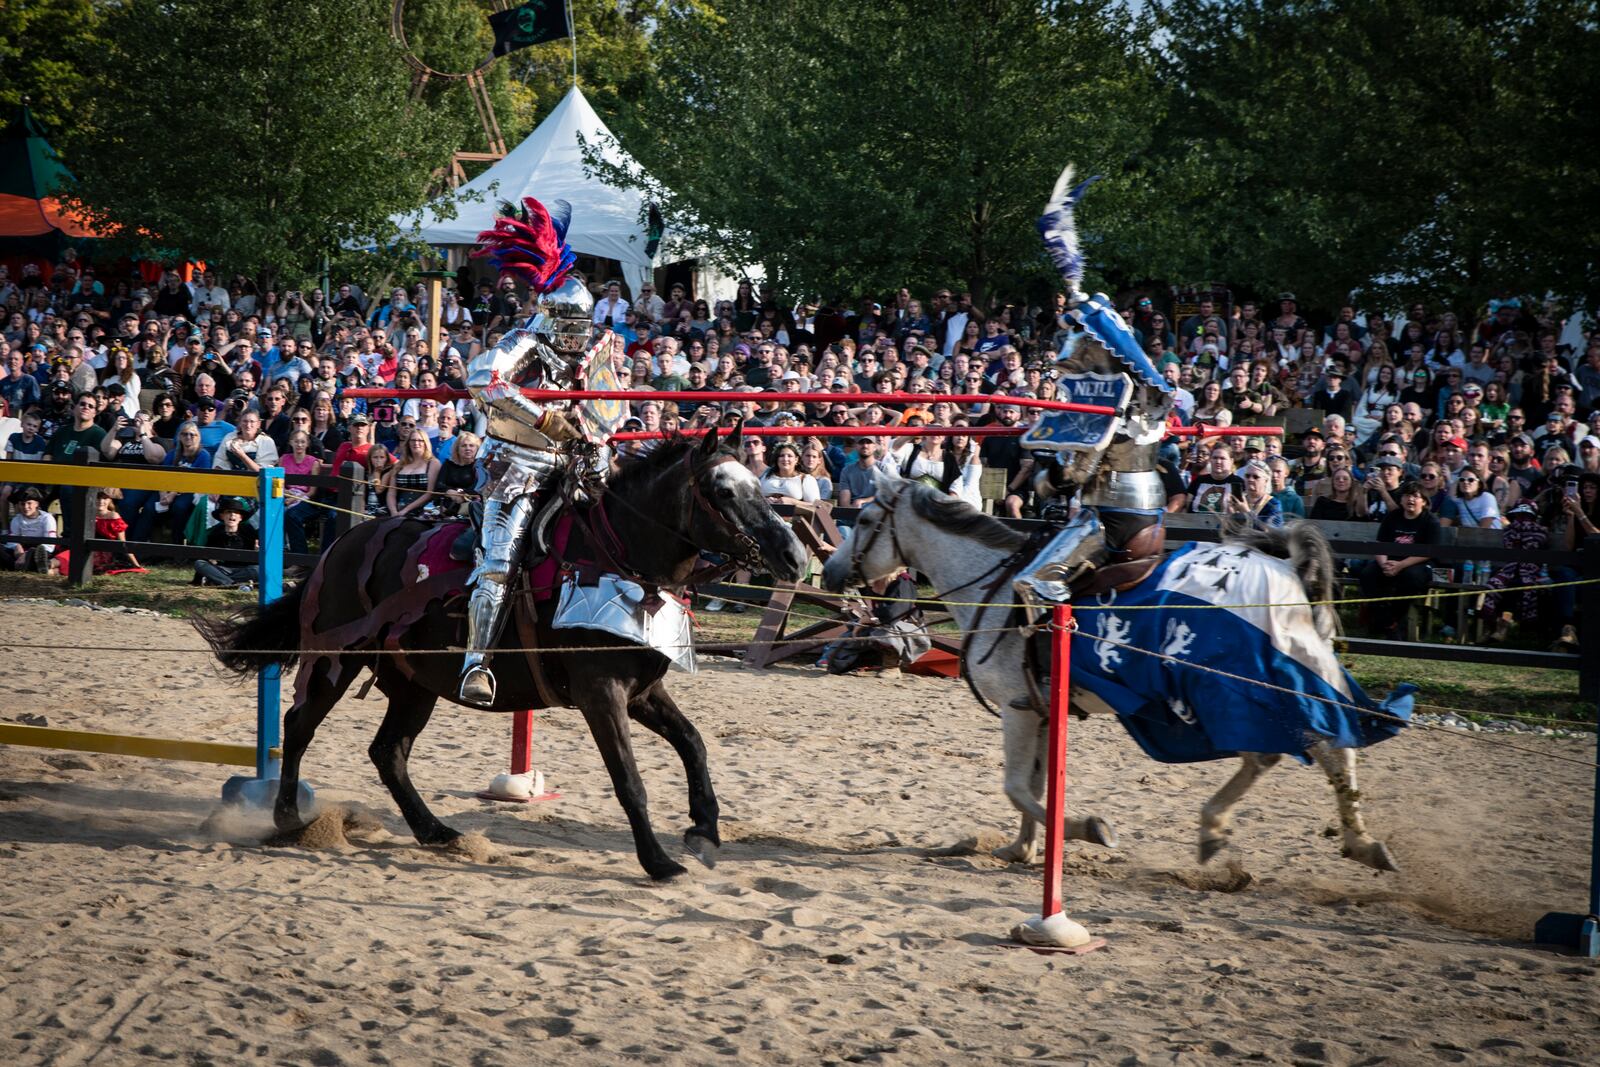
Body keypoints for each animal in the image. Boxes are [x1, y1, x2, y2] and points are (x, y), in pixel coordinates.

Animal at [196, 425, 800, 883]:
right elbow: (630, 780)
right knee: (299, 726)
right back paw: (288, 818)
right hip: (334, 661)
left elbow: (694, 745)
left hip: (413, 685)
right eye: (722, 491)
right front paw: (658, 861)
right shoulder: (601, 695)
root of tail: (338, 546)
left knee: (388, 752)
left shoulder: (643, 692)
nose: (793, 555)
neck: (618, 558)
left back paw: (435, 831)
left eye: (759, 482)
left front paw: (704, 830)